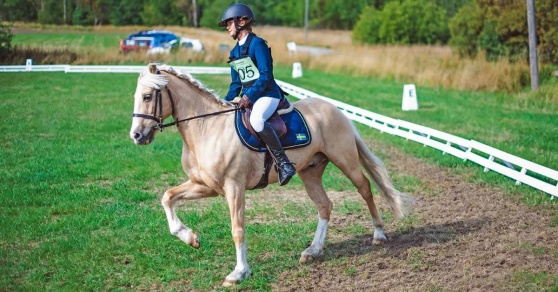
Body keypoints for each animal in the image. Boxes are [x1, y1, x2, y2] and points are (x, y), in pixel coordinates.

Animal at [129, 63, 414, 286]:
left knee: (365, 188)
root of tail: (334, 109)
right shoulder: (204, 185)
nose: (137, 136)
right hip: (310, 172)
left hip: (345, 160)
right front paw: (190, 238)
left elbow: (238, 229)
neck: (207, 127)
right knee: (325, 205)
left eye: (147, 96)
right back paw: (313, 251)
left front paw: (239, 273)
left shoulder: (234, 187)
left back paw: (378, 235)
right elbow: (168, 197)